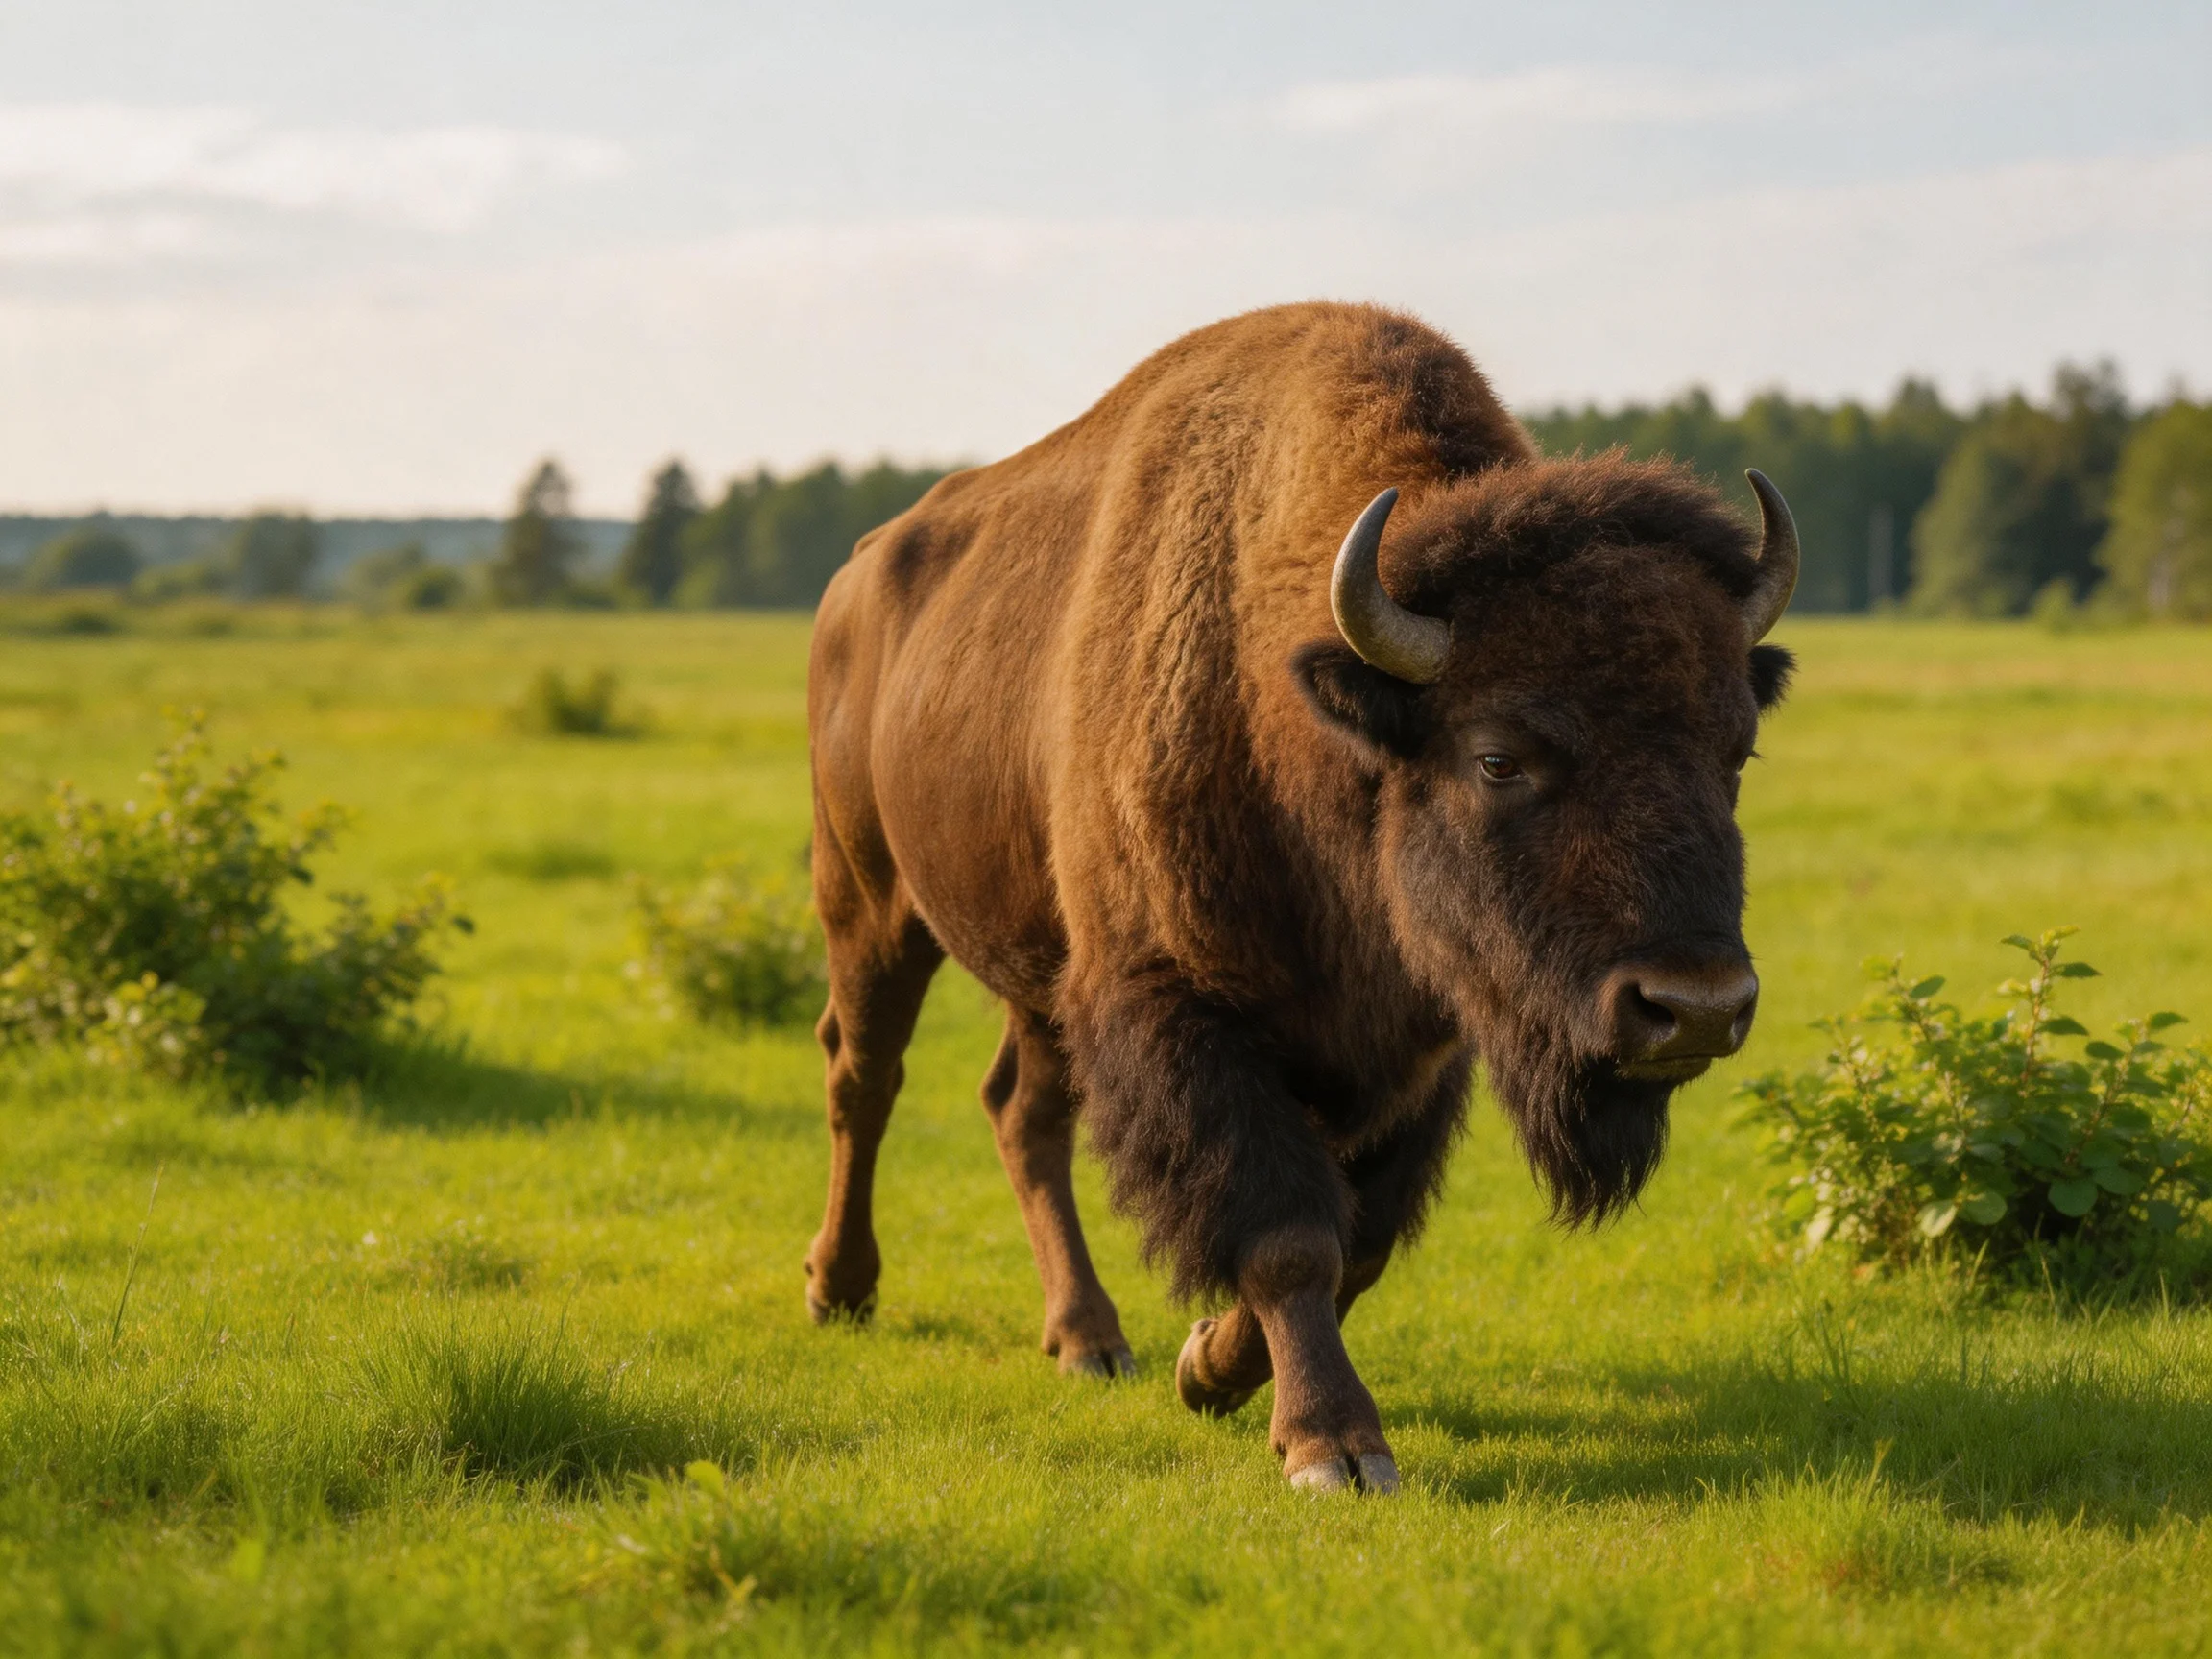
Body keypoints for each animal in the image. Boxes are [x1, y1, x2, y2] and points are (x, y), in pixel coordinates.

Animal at [803, 302, 1796, 1492]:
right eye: (1498, 758)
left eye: (1737, 749)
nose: (1692, 1007)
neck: (1291, 707)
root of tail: (855, 579)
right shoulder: (1174, 1002)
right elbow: (1286, 1232)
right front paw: (1335, 1444)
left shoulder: (1419, 1050)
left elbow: (1353, 1237)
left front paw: (1206, 1365)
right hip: (871, 904)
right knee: (865, 1075)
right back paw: (841, 1289)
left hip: (1040, 971)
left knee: (1021, 1109)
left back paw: (1088, 1338)